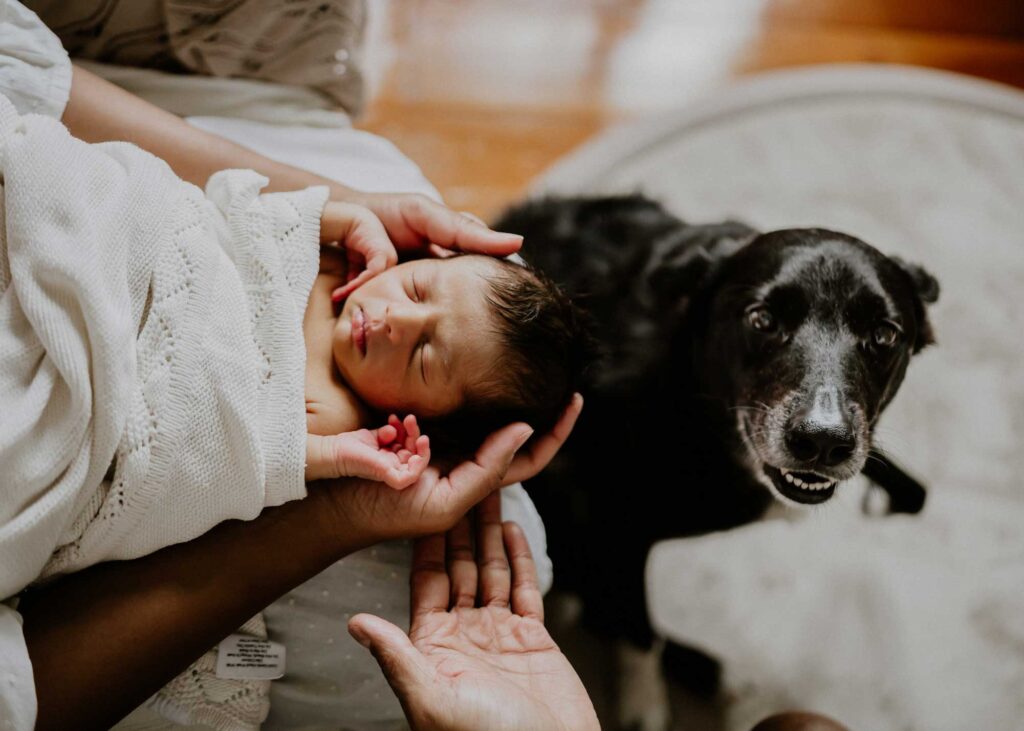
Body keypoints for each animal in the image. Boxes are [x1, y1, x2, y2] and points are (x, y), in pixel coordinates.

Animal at [491, 195, 937, 728]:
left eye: (884, 334)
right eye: (762, 320)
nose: (823, 442)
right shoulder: (616, 526)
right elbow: (637, 628)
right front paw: (645, 706)